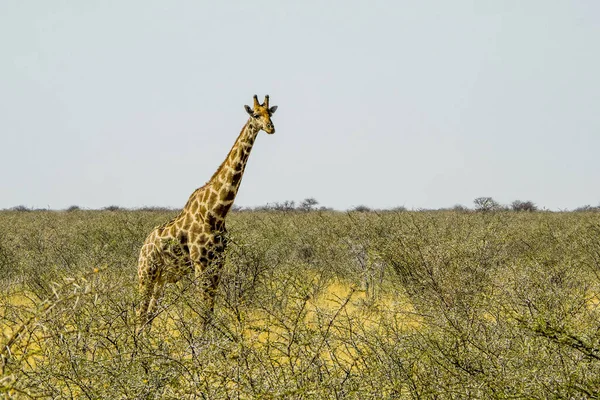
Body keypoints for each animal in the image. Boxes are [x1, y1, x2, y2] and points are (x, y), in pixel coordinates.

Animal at [137, 94, 278, 332]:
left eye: (271, 113)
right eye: (256, 115)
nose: (270, 128)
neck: (217, 212)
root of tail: (143, 247)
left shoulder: (218, 263)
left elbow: (209, 310)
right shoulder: (200, 262)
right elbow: (202, 310)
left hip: (161, 279)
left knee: (148, 315)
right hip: (146, 273)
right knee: (139, 313)